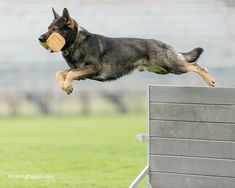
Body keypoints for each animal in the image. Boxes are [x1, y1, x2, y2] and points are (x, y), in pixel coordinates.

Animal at [39, 8, 215, 94]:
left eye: (54, 29)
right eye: (48, 28)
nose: (40, 38)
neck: (77, 40)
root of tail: (163, 43)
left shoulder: (92, 68)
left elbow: (69, 74)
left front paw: (67, 86)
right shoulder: (81, 72)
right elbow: (61, 73)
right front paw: (65, 87)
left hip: (173, 66)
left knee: (194, 65)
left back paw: (210, 80)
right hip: (163, 70)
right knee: (189, 61)